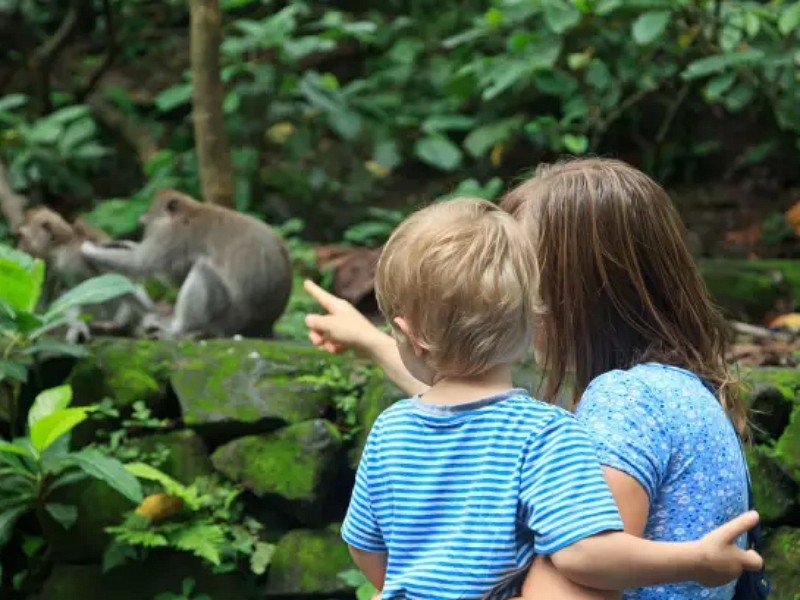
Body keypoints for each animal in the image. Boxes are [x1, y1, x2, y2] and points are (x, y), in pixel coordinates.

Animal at [15, 206, 155, 340]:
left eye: (22, 237)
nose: (19, 248)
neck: (60, 250)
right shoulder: (53, 266)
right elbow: (63, 293)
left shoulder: (84, 254)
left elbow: (121, 282)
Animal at [79, 192, 292, 342]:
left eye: (148, 223)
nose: (142, 224)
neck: (190, 211)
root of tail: (264, 327)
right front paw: (119, 244)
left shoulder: (172, 235)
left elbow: (142, 263)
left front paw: (88, 250)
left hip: (229, 319)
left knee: (202, 271)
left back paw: (177, 328)